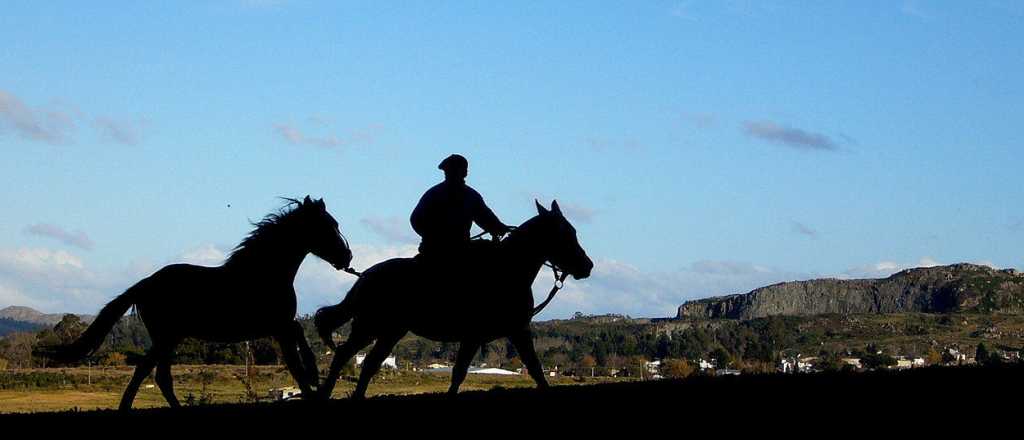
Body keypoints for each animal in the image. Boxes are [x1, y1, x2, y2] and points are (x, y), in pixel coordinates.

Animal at [49, 195, 354, 409]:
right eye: (327, 227)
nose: (347, 257)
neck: (262, 273)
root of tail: (145, 284)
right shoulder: (277, 326)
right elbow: (296, 360)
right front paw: (313, 380)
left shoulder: (279, 326)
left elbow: (299, 343)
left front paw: (313, 379)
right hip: (166, 337)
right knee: (148, 371)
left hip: (169, 339)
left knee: (159, 376)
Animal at [315, 201, 598, 401]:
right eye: (565, 233)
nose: (587, 266)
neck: (506, 271)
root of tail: (366, 276)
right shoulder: (491, 333)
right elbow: (463, 372)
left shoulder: (510, 331)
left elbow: (531, 368)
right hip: (370, 326)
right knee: (344, 355)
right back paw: (326, 394)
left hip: (390, 332)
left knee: (368, 363)